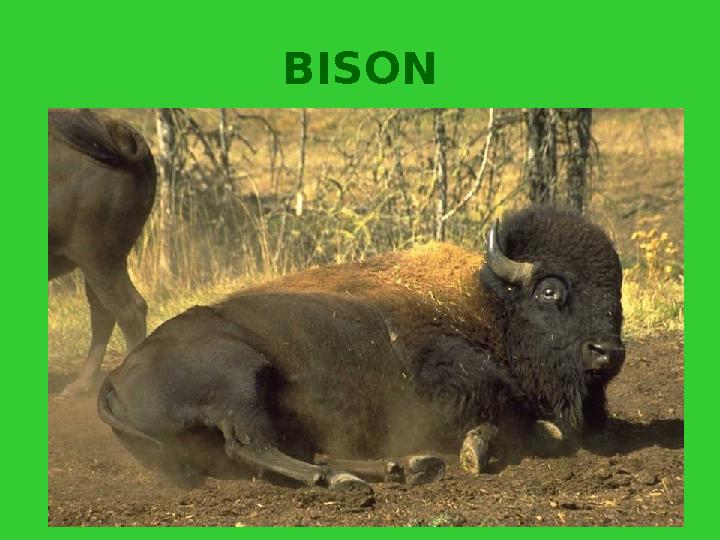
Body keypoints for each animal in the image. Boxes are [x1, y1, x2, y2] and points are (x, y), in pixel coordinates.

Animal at [97, 208, 625, 493]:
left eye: (614, 292)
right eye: (550, 291)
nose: (608, 352)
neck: (487, 300)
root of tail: (116, 376)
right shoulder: (450, 378)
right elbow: (521, 419)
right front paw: (478, 449)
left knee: (303, 448)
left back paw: (408, 467)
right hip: (242, 376)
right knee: (251, 444)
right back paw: (350, 482)